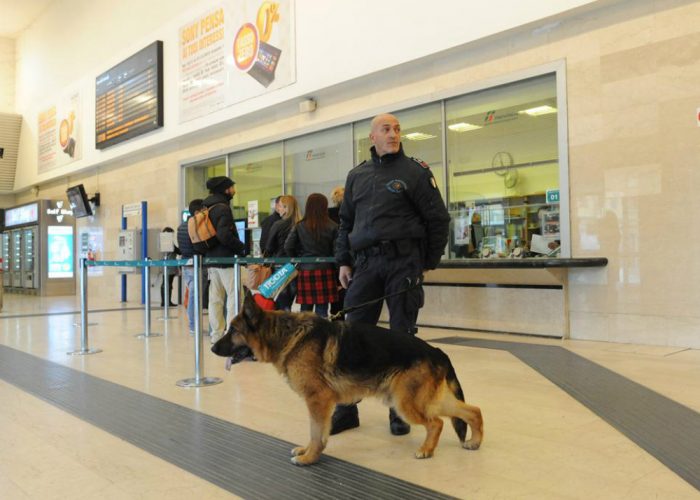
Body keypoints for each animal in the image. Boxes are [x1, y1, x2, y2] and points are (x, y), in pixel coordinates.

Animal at [211, 292, 482, 466]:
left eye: (233, 331)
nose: (212, 348)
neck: (285, 335)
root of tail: (435, 350)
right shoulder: (319, 403)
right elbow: (316, 432)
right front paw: (308, 451)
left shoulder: (318, 400)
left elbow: (316, 432)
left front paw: (309, 458)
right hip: (428, 400)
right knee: (473, 411)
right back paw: (474, 442)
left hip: (405, 403)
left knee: (436, 423)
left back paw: (426, 450)